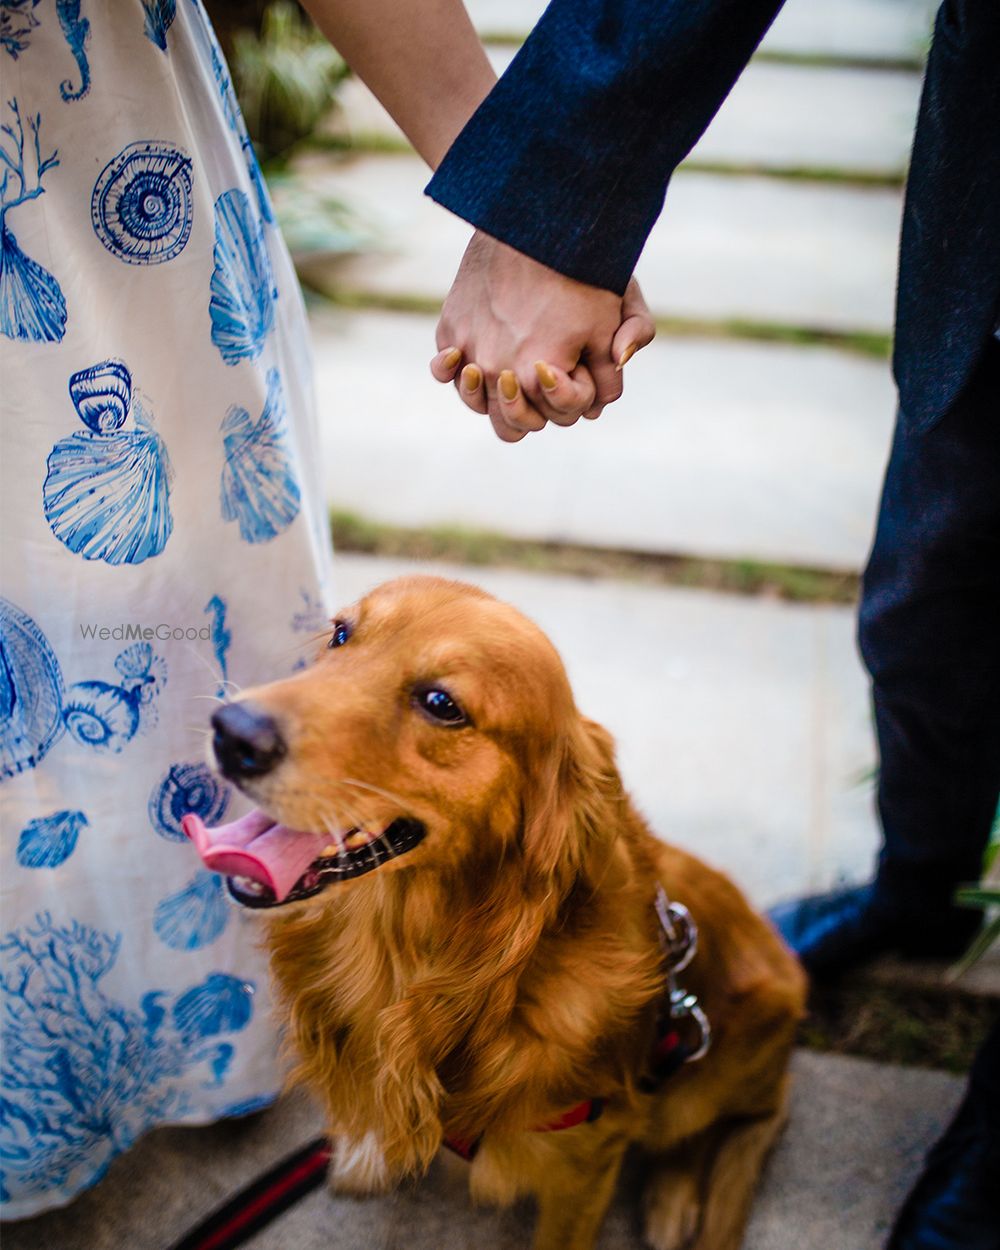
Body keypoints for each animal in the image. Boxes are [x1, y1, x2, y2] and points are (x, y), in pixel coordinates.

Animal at [183, 575, 805, 1250]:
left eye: (441, 703)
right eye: (343, 634)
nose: (230, 730)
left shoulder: (586, 1162)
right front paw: (363, 1161)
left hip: (717, 1065)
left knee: (746, 1118)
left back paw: (673, 1200)